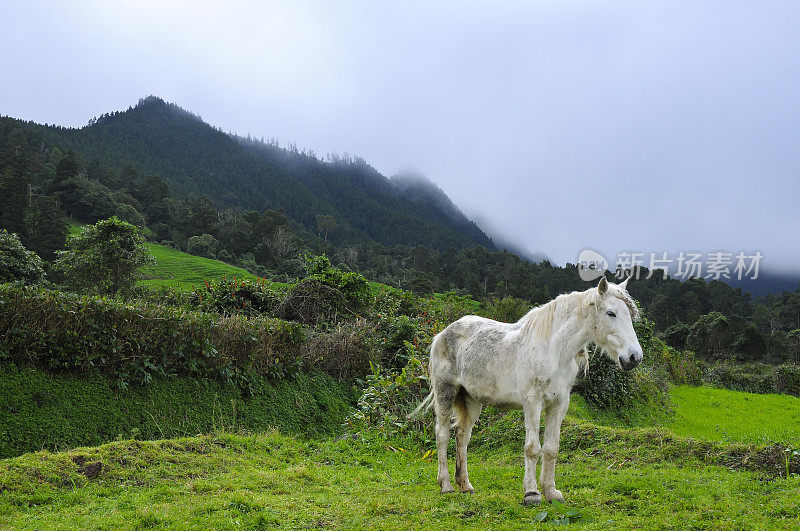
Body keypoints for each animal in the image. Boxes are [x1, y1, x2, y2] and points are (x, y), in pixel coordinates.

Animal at [412, 278, 644, 508]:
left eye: (629, 314)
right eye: (611, 313)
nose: (634, 357)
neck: (553, 350)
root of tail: (442, 334)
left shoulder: (559, 404)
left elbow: (551, 448)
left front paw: (551, 492)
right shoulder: (533, 401)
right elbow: (532, 447)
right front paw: (532, 493)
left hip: (472, 400)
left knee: (462, 437)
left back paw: (465, 485)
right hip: (446, 392)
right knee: (442, 435)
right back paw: (446, 485)